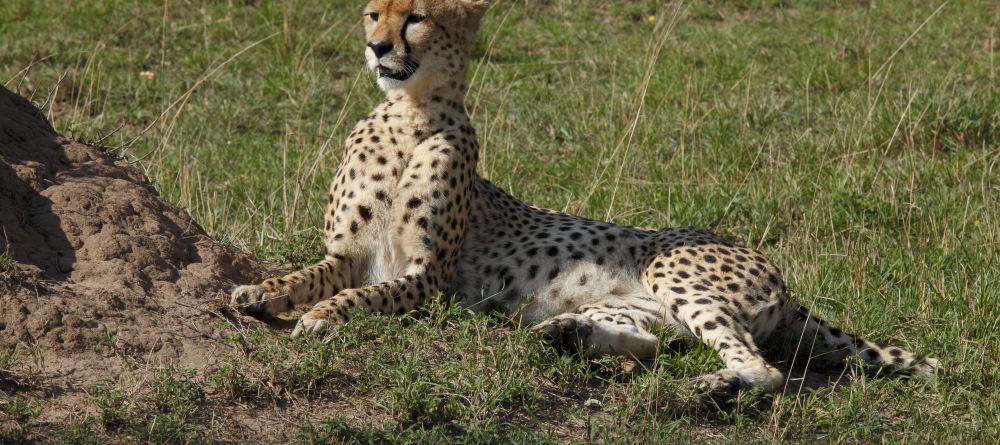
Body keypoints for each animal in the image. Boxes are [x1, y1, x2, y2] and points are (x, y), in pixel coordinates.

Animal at [232, 0, 936, 390]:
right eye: (372, 11)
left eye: (418, 18)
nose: (376, 46)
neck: (408, 110)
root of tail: (780, 278)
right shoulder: (347, 254)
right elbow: (305, 275)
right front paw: (259, 292)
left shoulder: (425, 276)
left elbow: (363, 295)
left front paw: (325, 316)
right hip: (641, 306)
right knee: (656, 344)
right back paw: (566, 335)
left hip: (674, 270)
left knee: (762, 368)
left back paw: (706, 387)